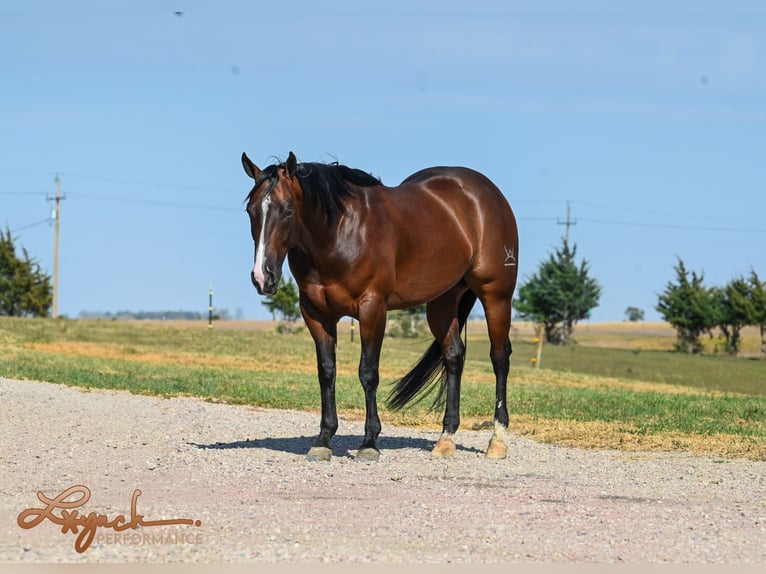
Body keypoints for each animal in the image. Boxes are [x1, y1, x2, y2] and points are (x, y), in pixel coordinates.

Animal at [244, 152, 520, 464]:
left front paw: (369, 442)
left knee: (500, 358)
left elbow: (368, 373)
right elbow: (326, 372)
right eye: (251, 211)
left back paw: (497, 441)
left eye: (288, 210)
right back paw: (446, 438)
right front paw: (324, 440)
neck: (337, 233)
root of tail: (487, 192)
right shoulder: (316, 313)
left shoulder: (372, 309)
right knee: (453, 356)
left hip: (496, 295)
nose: (262, 277)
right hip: (443, 301)